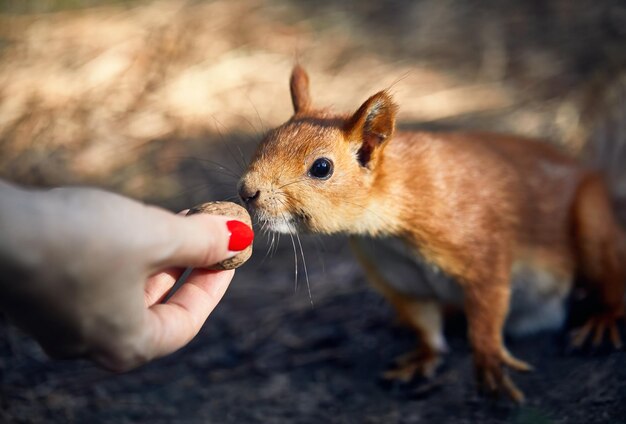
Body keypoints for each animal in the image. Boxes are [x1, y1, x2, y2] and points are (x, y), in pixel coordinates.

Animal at [235, 64, 624, 402]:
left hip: (590, 220)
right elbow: (424, 322)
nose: (246, 191)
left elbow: (489, 303)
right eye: (267, 138)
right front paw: (422, 358)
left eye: (321, 167)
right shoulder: (399, 275)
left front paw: (489, 361)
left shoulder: (479, 243)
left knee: (609, 275)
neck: (387, 229)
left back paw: (602, 322)